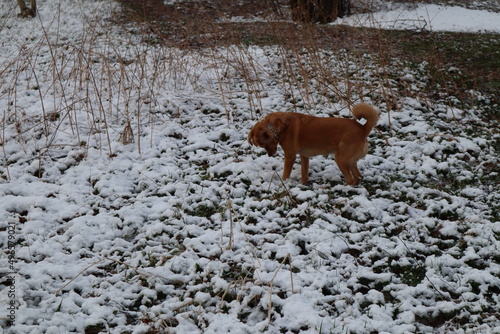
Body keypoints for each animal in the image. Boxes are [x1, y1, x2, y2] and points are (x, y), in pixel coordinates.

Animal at [246, 103, 378, 185]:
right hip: (349, 160)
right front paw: (302, 184)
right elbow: (304, 172)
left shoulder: (290, 156)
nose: (270, 155)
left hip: (341, 158)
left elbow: (286, 173)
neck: (279, 127)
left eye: (264, 145)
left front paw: (284, 183)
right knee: (358, 176)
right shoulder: (304, 156)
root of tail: (363, 128)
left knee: (350, 179)